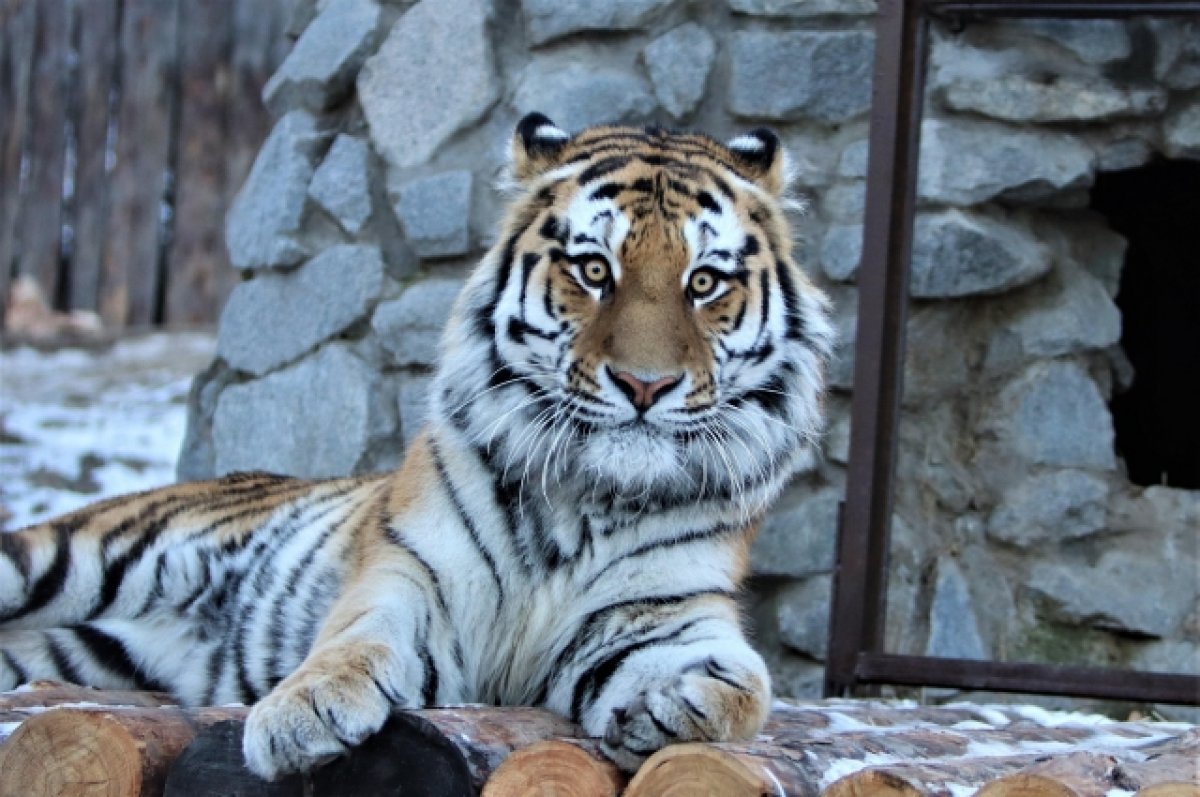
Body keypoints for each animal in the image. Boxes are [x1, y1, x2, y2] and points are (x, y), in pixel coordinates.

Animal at [0, 113, 835, 777]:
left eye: (704, 282)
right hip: (62, 555)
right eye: (594, 269)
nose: (644, 384)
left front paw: (676, 703)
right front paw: (301, 715)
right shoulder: (409, 572)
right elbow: (355, 638)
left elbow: (746, 682)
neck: (586, 499)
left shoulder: (664, 611)